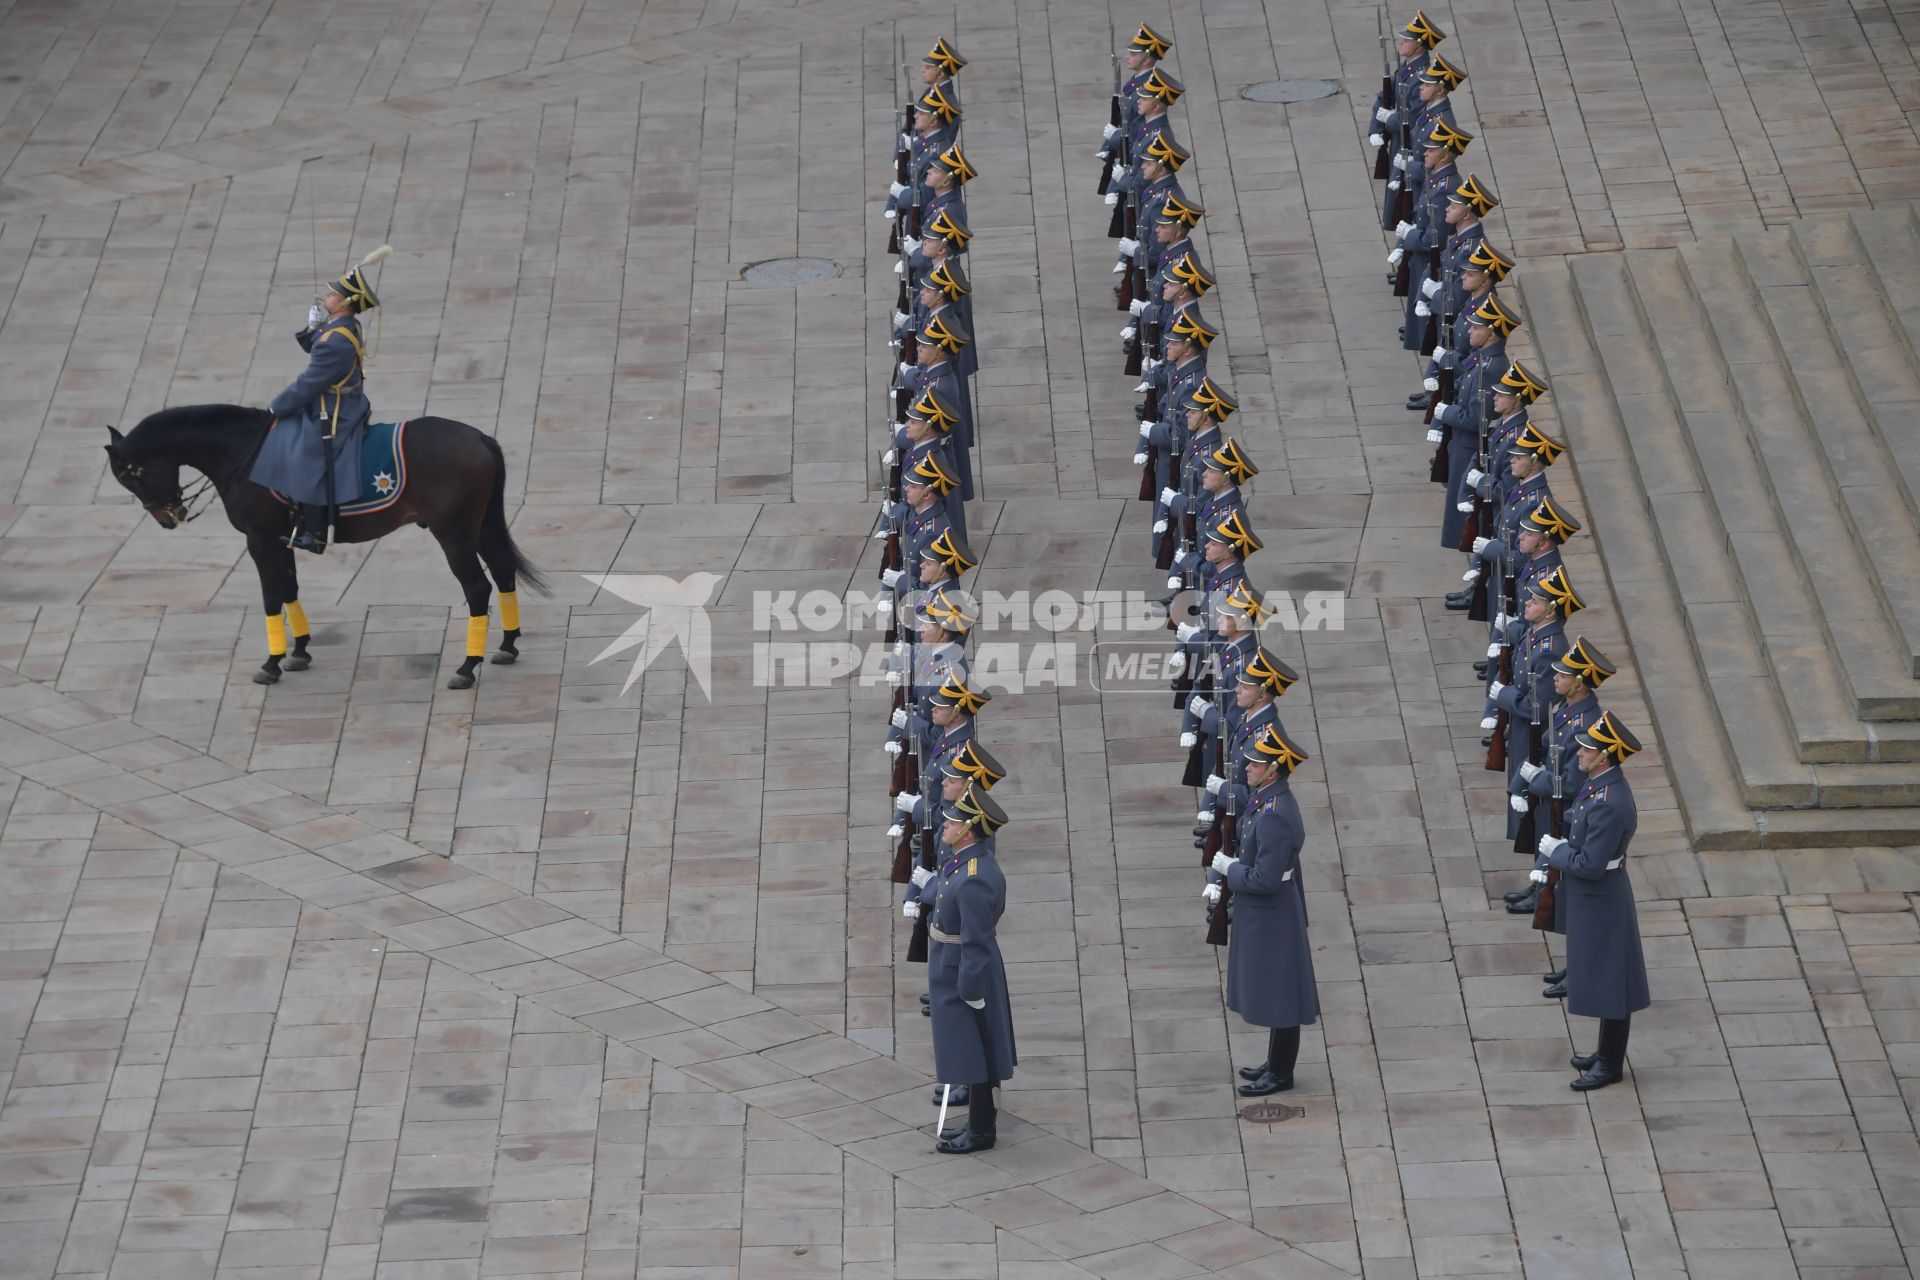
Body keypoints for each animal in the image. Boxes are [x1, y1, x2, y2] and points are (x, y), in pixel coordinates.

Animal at [105, 408, 545, 690]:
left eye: (131, 478)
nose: (169, 517)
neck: (245, 452)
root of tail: (479, 436)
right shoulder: (280, 538)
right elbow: (289, 589)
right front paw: (299, 650)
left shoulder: (258, 539)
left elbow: (270, 596)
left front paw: (271, 662)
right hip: (479, 528)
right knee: (503, 572)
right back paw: (506, 644)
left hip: (453, 535)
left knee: (478, 589)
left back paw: (468, 666)